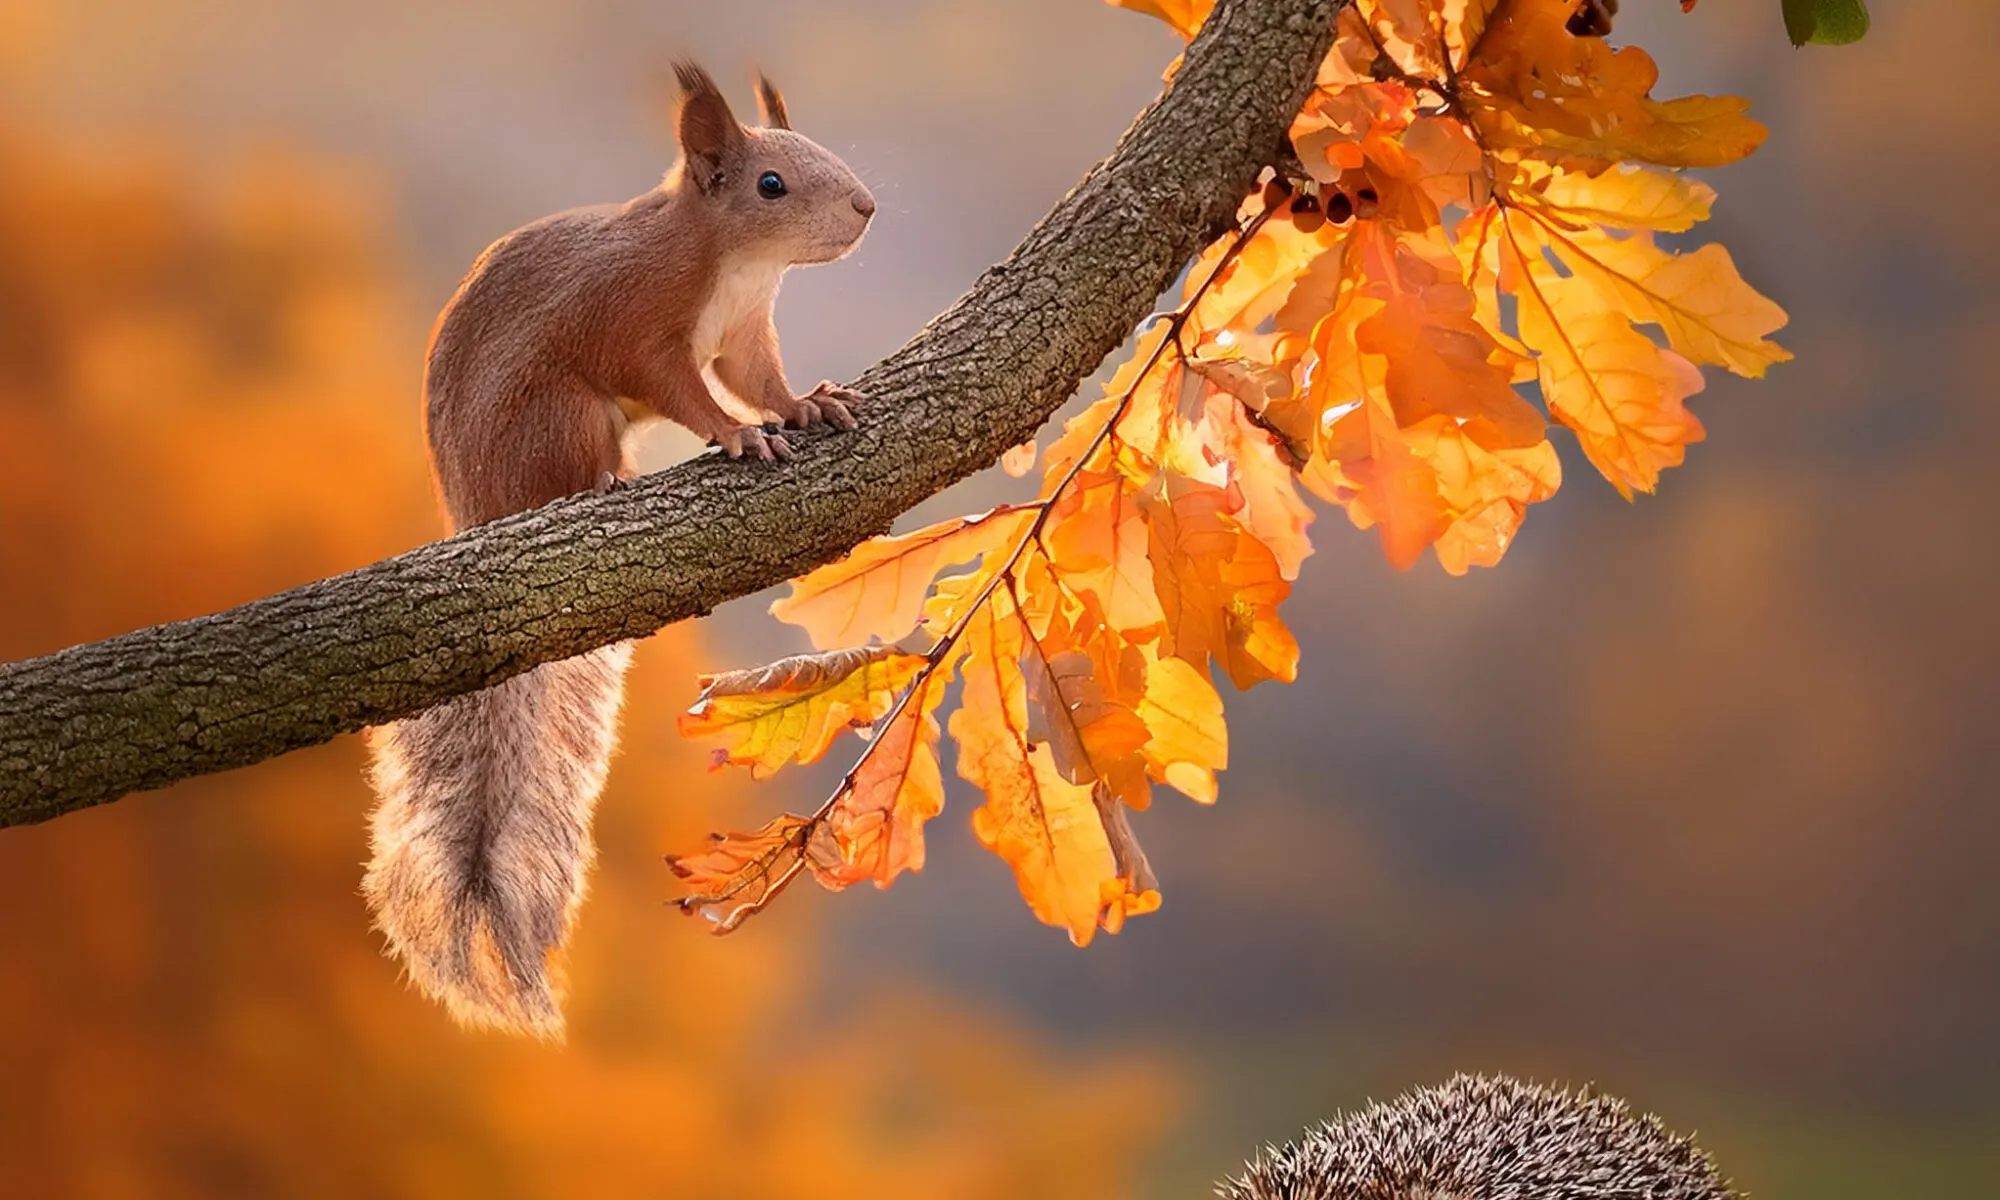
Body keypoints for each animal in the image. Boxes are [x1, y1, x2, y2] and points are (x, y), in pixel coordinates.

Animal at [362, 65, 876, 1032]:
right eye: (771, 185)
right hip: (563, 415)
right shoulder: (636, 323)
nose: (867, 206)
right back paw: (599, 488)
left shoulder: (745, 335)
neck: (734, 264)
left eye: (823, 148)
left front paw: (805, 405)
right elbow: (687, 391)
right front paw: (739, 437)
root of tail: (473, 508)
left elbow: (759, 380)